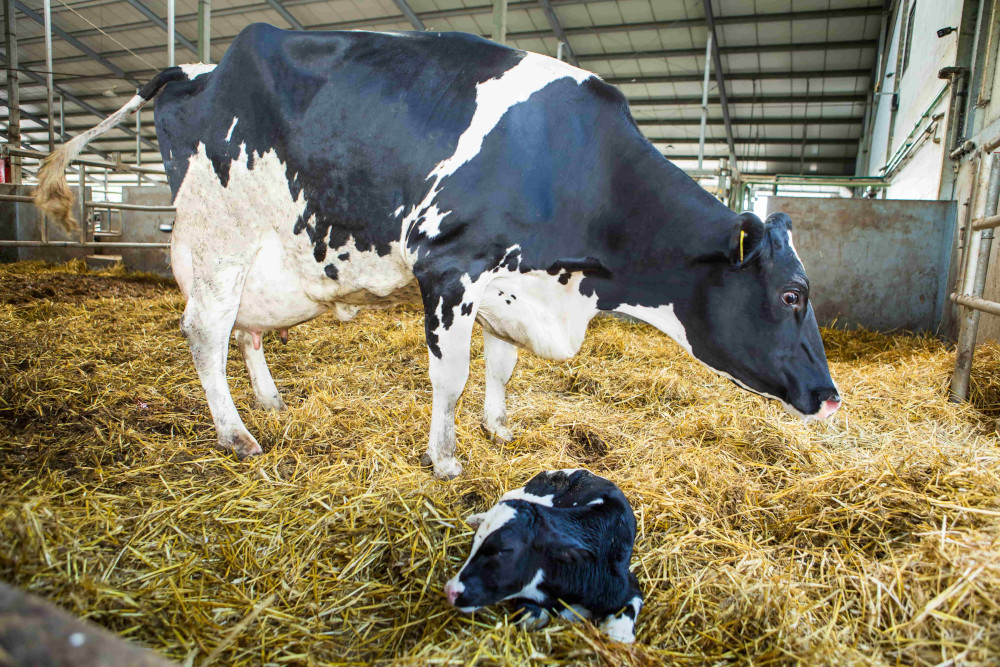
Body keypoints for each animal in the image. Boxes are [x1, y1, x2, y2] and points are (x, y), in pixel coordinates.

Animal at [33, 23, 844, 478]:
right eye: (791, 295)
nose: (832, 395)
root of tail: (192, 68)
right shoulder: (450, 266)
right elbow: (449, 375)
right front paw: (446, 455)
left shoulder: (513, 281)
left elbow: (502, 367)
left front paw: (498, 427)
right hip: (219, 236)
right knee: (205, 331)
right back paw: (236, 432)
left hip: (274, 256)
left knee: (246, 330)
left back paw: (268, 399)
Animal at [444, 468, 640, 644]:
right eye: (473, 543)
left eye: (504, 550)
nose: (451, 590)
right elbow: (532, 618)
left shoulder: (624, 584)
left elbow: (619, 633)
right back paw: (475, 519)